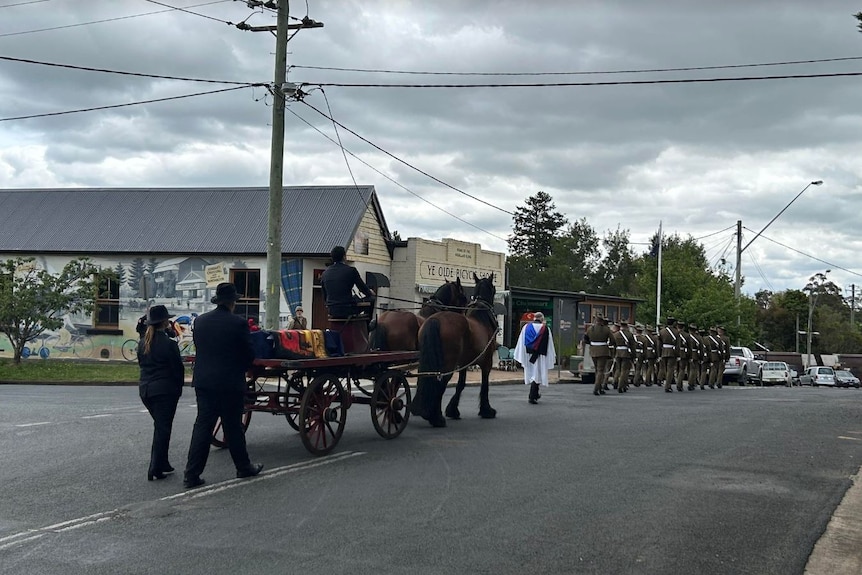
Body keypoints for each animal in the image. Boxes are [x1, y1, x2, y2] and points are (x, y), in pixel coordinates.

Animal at [412, 274, 500, 428]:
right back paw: (436, 418)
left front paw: (453, 410)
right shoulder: (487, 362)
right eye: (494, 289)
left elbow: (461, 384)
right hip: (448, 363)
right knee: (441, 382)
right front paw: (486, 410)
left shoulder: (464, 362)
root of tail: (435, 319)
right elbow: (484, 385)